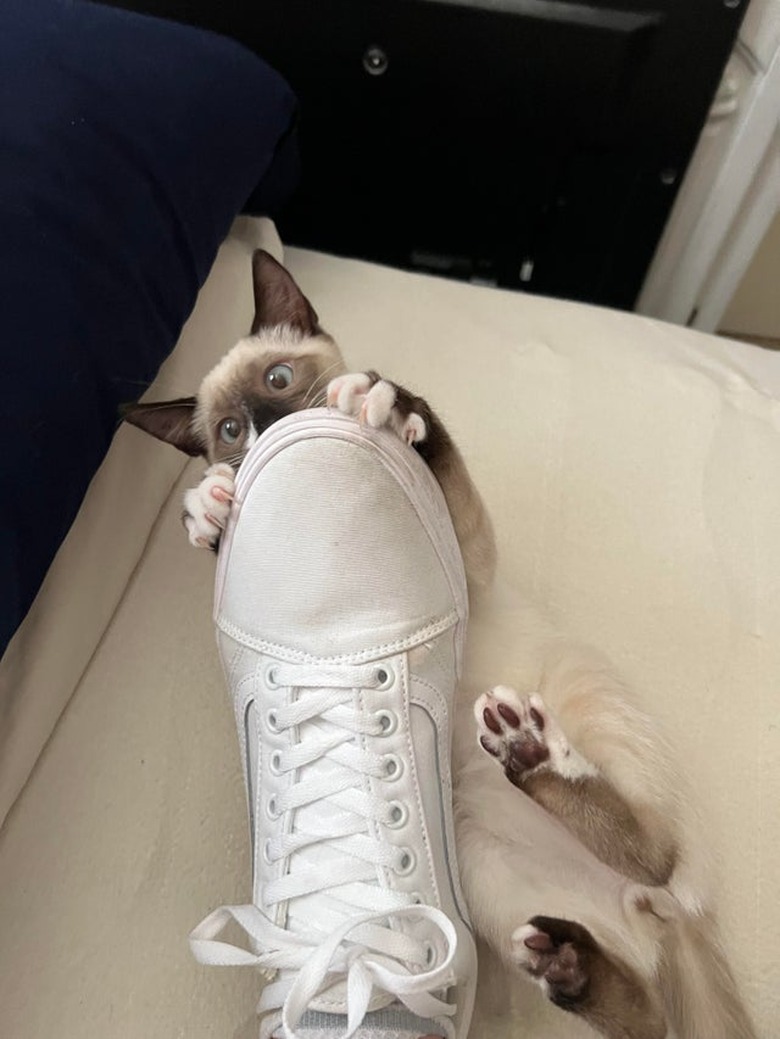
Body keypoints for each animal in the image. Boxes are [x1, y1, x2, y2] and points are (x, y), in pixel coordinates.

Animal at [126, 249, 756, 1039]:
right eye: (235, 431)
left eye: (279, 380)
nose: (275, 427)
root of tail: (665, 926)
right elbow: (212, 507)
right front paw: (209, 508)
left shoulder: (475, 554)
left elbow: (431, 440)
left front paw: (381, 402)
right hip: (487, 871)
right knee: (644, 1008)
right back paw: (569, 955)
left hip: (589, 716)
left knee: (660, 862)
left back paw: (534, 754)